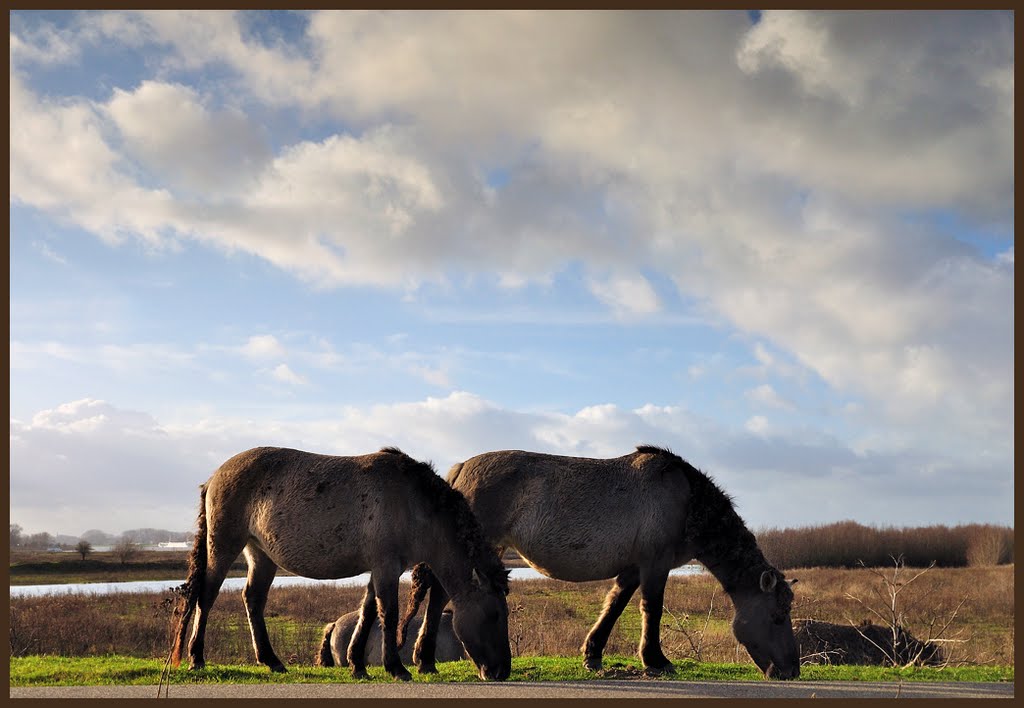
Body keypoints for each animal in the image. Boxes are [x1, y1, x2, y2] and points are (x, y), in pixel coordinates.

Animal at [172, 446, 516, 684]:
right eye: (494, 615)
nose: (502, 671)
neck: (414, 503)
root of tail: (215, 476)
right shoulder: (387, 567)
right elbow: (388, 614)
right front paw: (396, 667)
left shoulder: (379, 569)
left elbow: (367, 612)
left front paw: (357, 664)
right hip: (223, 547)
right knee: (206, 596)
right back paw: (196, 658)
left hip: (260, 555)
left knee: (253, 600)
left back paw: (272, 661)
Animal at [403, 448, 802, 680]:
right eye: (776, 617)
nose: (792, 671)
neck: (687, 500)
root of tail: (460, 469)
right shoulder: (655, 565)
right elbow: (651, 609)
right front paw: (656, 661)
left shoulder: (633, 569)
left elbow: (615, 606)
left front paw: (593, 655)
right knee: (440, 596)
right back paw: (424, 659)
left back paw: (426, 660)